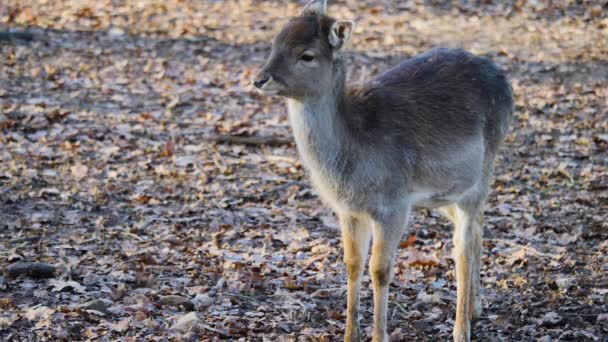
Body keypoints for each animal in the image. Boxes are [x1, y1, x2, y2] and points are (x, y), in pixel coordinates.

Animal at [252, 1, 512, 340]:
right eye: (275, 43)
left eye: (306, 55)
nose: (260, 79)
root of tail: (506, 83)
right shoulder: (349, 210)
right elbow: (352, 262)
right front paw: (350, 334)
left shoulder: (393, 204)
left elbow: (380, 270)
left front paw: (378, 335)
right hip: (447, 192)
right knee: (476, 230)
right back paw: (475, 308)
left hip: (481, 172)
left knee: (463, 246)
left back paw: (461, 328)